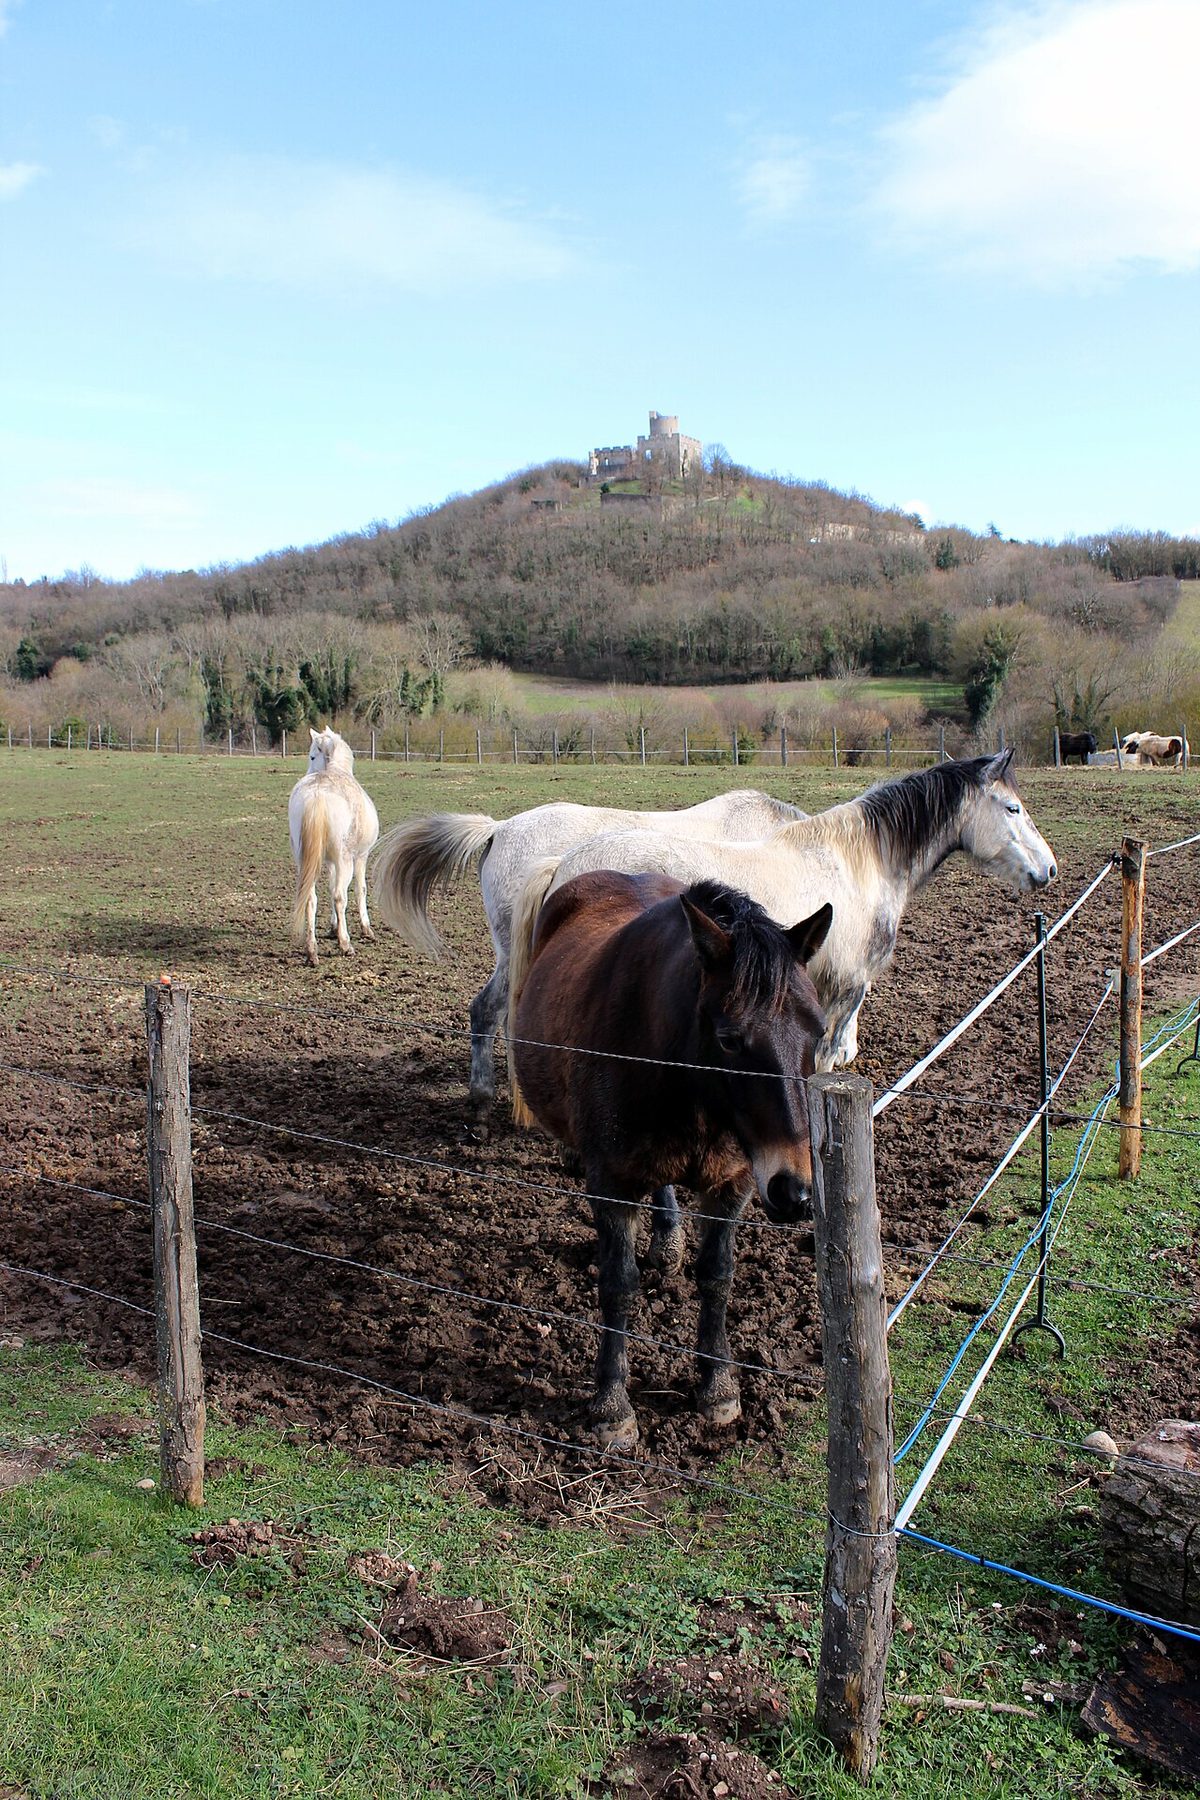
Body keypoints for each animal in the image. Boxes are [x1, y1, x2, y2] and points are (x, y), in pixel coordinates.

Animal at [288, 727, 380, 965]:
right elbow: (359, 889)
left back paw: (312, 951)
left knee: (310, 899)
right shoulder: (361, 856)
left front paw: (333, 927)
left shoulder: (329, 862)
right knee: (340, 896)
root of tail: (317, 794)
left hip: (304, 861)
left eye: (312, 757)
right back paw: (345, 944)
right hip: (345, 860)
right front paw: (365, 929)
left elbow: (329, 889)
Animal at [508, 753, 1056, 1074]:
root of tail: (563, 865)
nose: (1048, 869)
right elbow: (826, 1059)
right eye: (1012, 809)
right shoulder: (846, 986)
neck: (859, 860)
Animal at [510, 870, 831, 1448]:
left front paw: (717, 1385)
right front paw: (611, 1405)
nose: (793, 1190)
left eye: (817, 1031)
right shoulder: (613, 1187)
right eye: (730, 1039)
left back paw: (668, 1240)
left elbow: (718, 1276)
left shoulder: (731, 1186)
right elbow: (619, 1285)